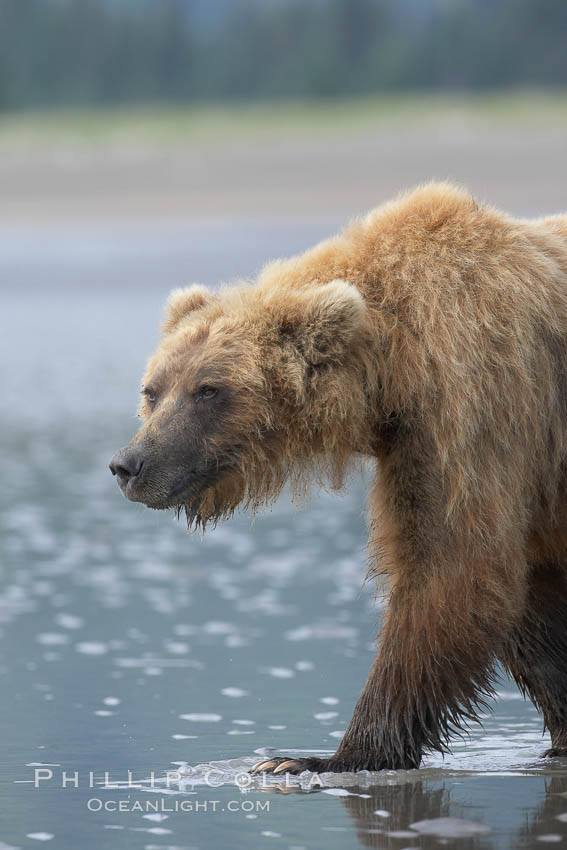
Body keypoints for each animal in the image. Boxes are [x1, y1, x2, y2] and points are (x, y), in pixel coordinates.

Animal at [110, 182, 567, 772]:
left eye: (208, 390)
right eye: (153, 389)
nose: (130, 463)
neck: (395, 365)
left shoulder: (474, 403)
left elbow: (452, 566)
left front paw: (316, 757)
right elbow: (526, 599)